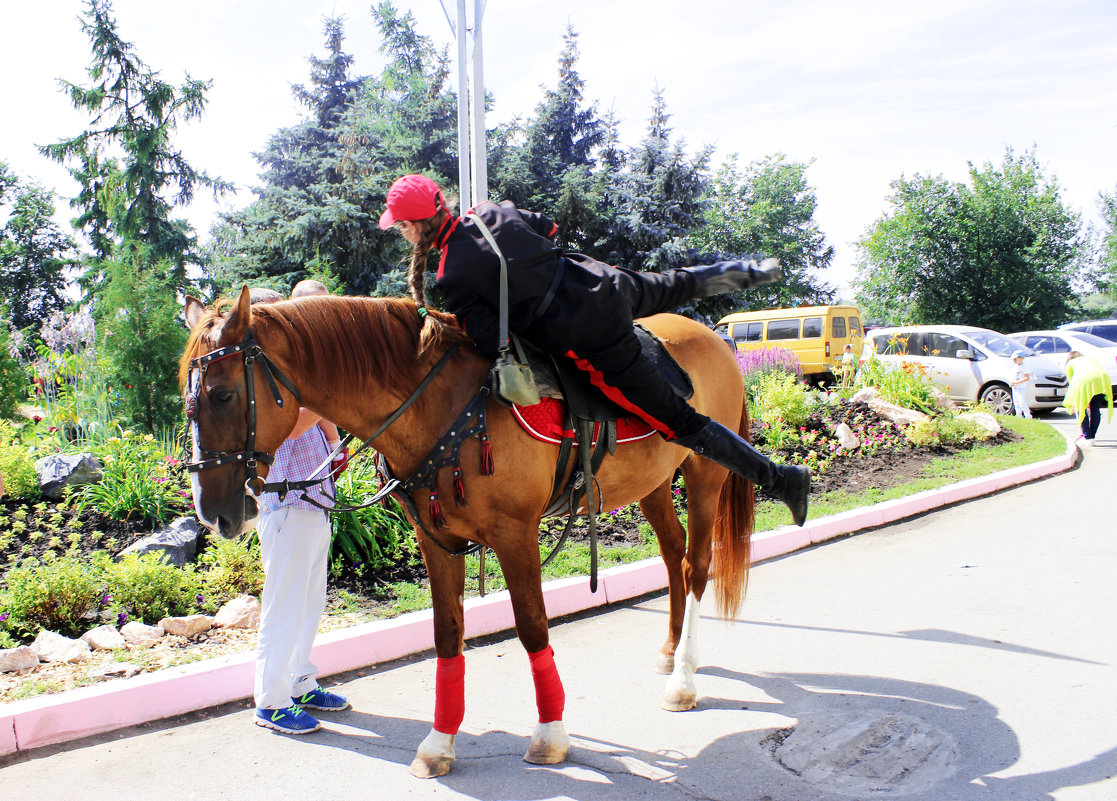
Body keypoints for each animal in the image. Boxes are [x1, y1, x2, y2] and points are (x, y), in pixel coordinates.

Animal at [183, 288, 755, 773]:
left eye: (222, 395)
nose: (211, 513)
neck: (443, 405)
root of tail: (712, 337)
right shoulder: (436, 541)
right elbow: (447, 632)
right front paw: (440, 742)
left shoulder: (516, 534)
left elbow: (532, 627)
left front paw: (550, 735)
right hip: (654, 484)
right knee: (673, 554)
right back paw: (670, 650)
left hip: (704, 476)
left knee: (696, 565)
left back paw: (684, 679)